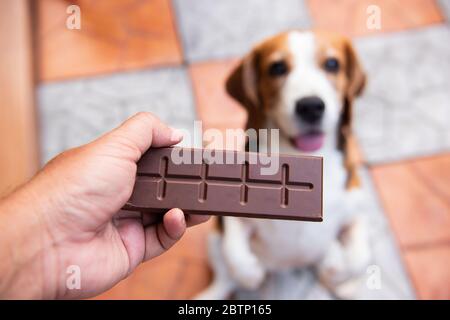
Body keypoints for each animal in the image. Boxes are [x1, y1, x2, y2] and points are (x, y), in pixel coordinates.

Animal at [199, 31, 370, 298]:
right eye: (277, 68)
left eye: (332, 64)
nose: (310, 106)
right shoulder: (232, 215)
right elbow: (235, 251)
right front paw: (249, 273)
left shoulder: (355, 210)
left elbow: (359, 258)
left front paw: (339, 272)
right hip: (213, 241)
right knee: (225, 276)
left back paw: (341, 281)